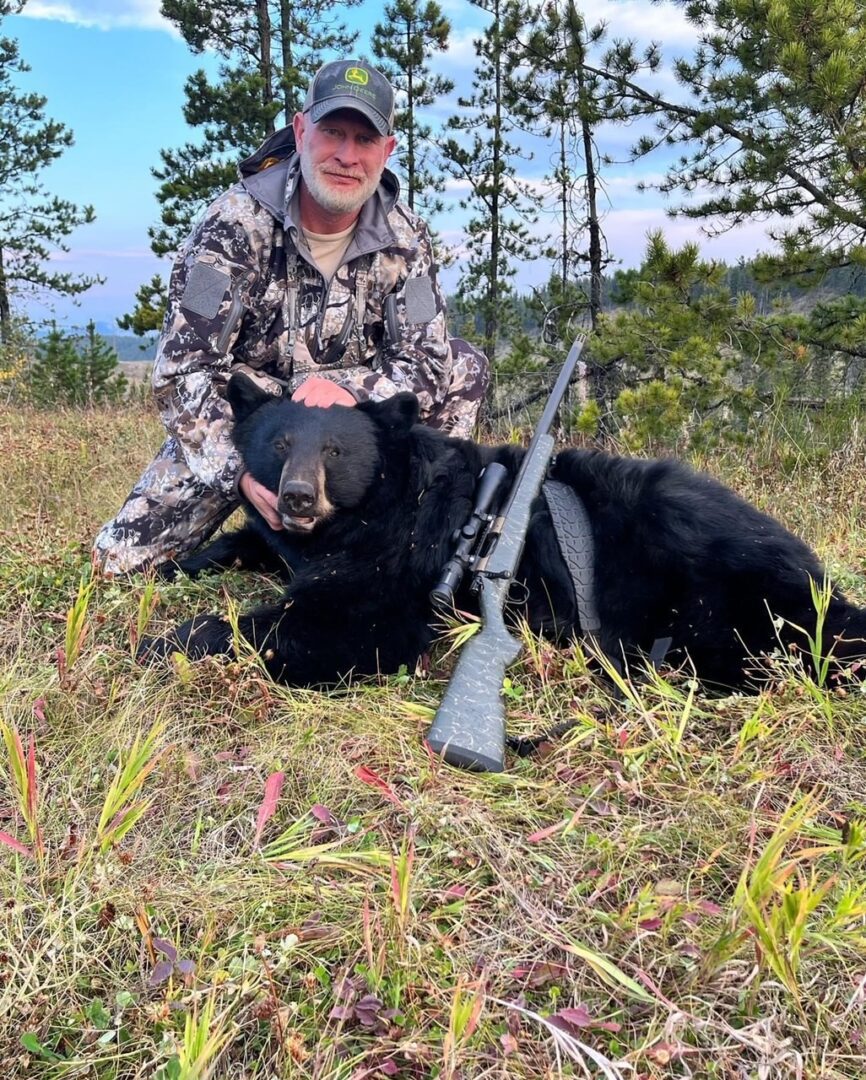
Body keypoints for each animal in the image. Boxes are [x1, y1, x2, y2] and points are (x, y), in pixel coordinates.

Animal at [144, 371, 863, 691]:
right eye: (280, 443)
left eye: (336, 452)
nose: (297, 496)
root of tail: (817, 574)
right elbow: (246, 545)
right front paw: (170, 565)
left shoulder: (396, 568)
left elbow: (339, 627)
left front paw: (165, 639)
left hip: (712, 592)